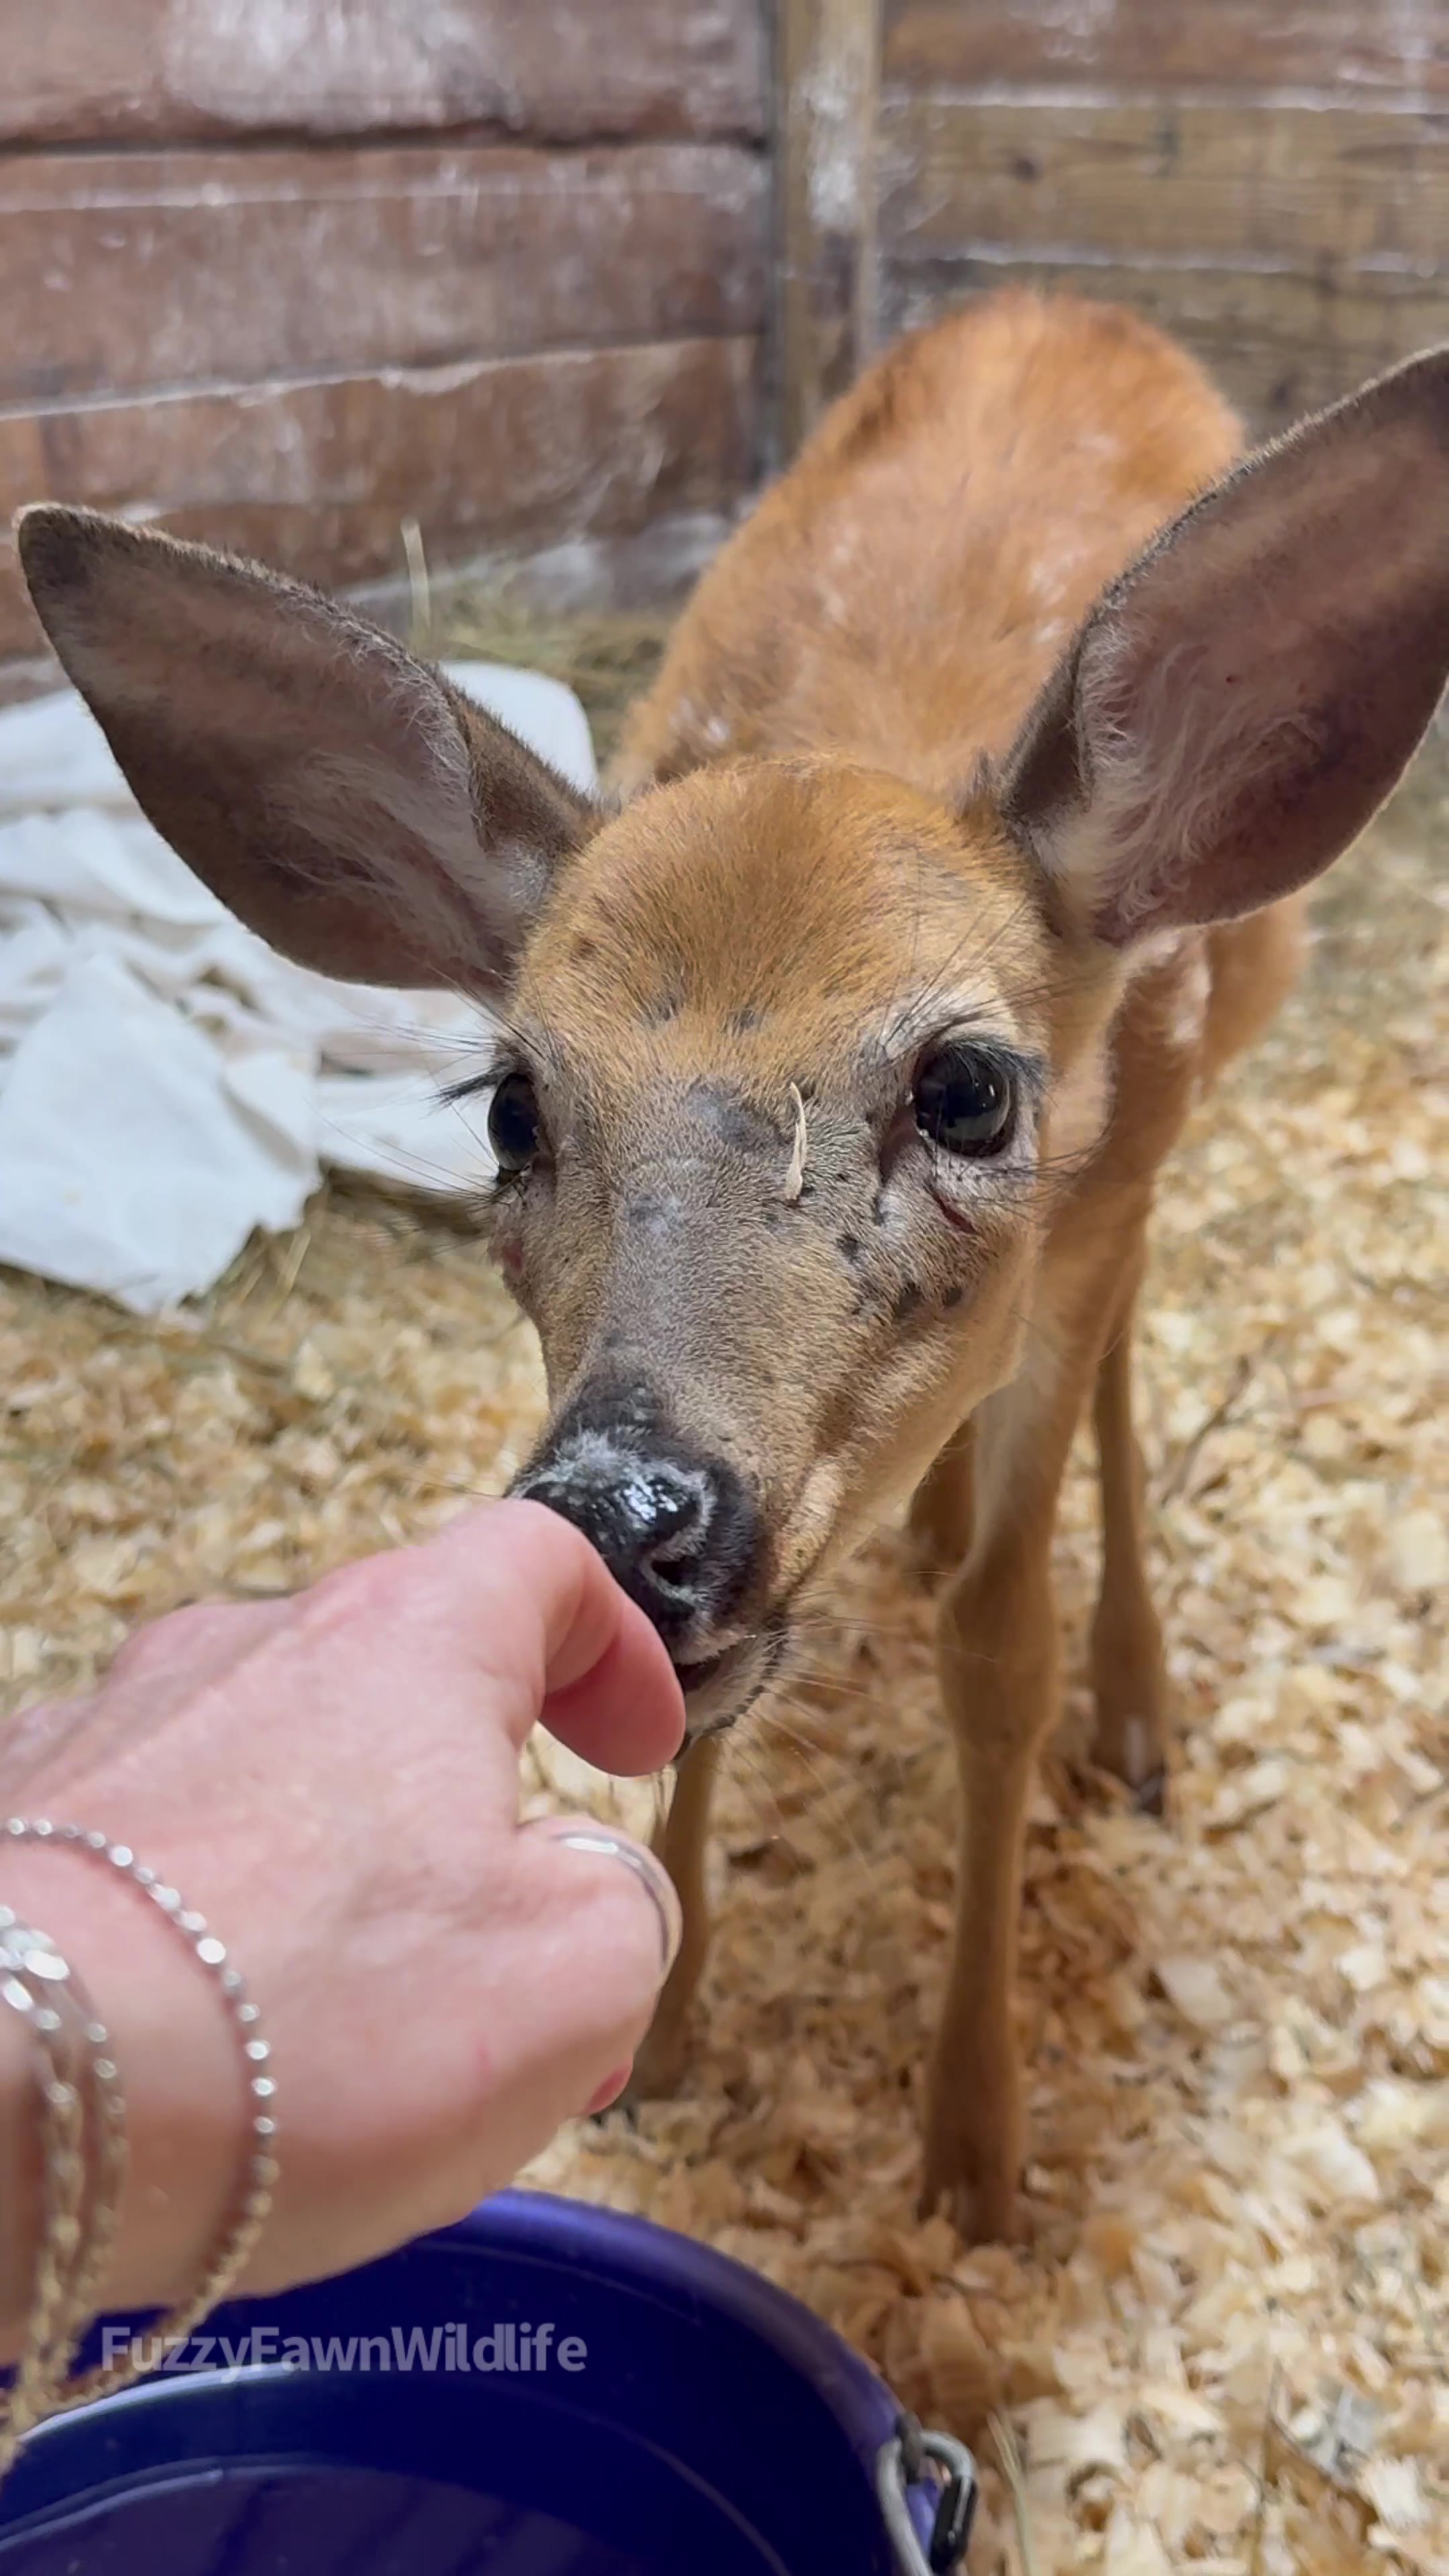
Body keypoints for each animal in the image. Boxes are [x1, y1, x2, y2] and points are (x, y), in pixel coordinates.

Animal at [18, 290, 1449, 2243]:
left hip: (1186, 1094)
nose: (625, 1510)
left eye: (967, 1087)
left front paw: (975, 2148)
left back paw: (1134, 1706)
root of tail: (1064, 296)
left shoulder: (1090, 1203)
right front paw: (666, 2027)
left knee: (1123, 1358)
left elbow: (997, 1646)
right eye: (511, 1107)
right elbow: (684, 1728)